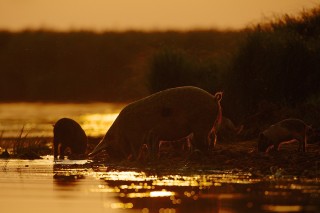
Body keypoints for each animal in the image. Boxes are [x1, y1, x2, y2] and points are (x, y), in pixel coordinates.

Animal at [89, 86, 221, 160]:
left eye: (109, 149)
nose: (116, 160)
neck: (121, 132)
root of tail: (214, 98)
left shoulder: (135, 137)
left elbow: (137, 150)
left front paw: (137, 159)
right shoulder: (154, 136)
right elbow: (154, 147)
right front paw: (152, 157)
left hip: (201, 124)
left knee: (203, 142)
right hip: (208, 126)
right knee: (212, 138)